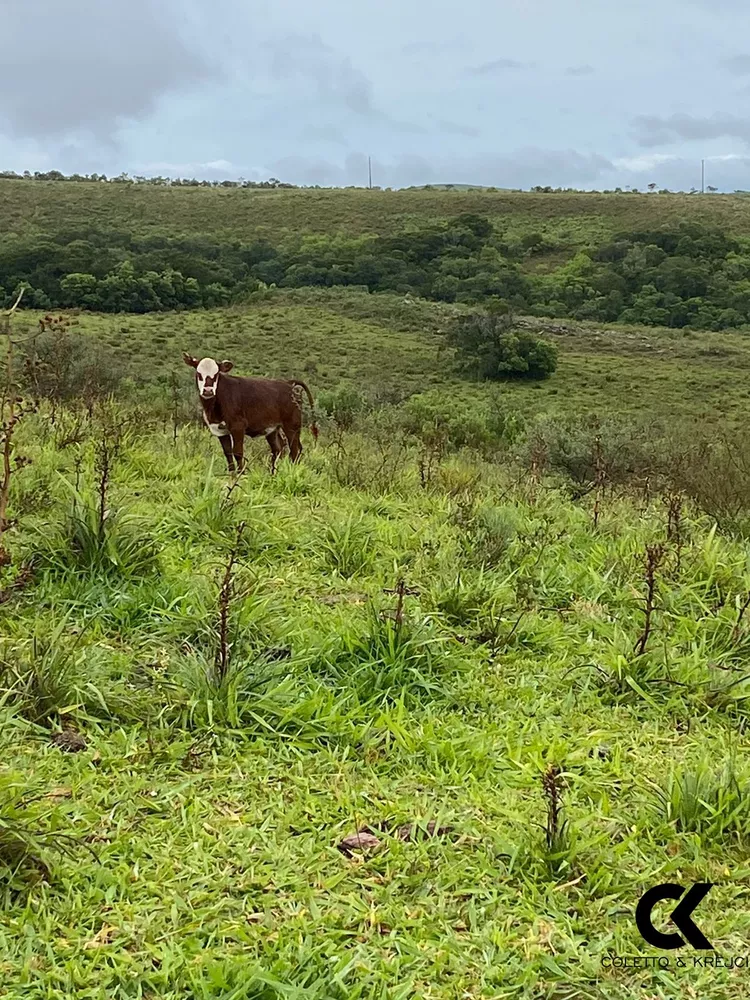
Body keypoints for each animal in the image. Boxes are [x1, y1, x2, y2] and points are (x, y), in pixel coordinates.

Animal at [187, 354, 322, 474]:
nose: (208, 391)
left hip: (292, 425)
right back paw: (273, 473)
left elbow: (238, 452)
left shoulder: (237, 426)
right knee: (278, 449)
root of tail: (288, 383)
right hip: (273, 428)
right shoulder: (219, 430)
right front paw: (231, 475)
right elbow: (228, 453)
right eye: (199, 374)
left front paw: (241, 475)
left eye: (216, 375)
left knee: (295, 450)